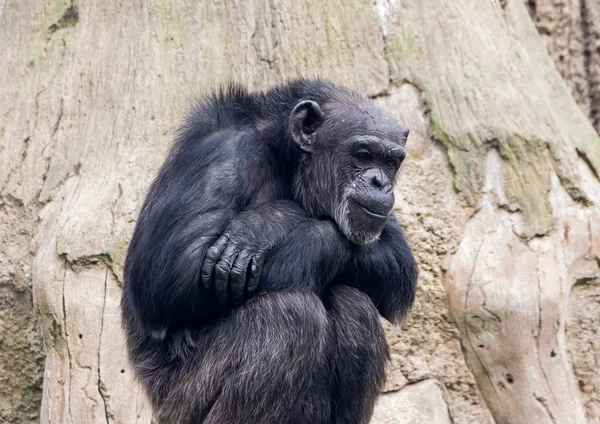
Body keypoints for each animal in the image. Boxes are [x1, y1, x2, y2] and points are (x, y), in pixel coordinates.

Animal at [122, 79, 418, 424]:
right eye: (363, 154)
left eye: (391, 162)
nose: (380, 182)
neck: (286, 156)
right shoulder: (223, 157)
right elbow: (169, 276)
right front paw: (272, 218)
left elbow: (398, 261)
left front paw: (265, 224)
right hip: (181, 404)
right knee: (288, 316)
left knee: (355, 304)